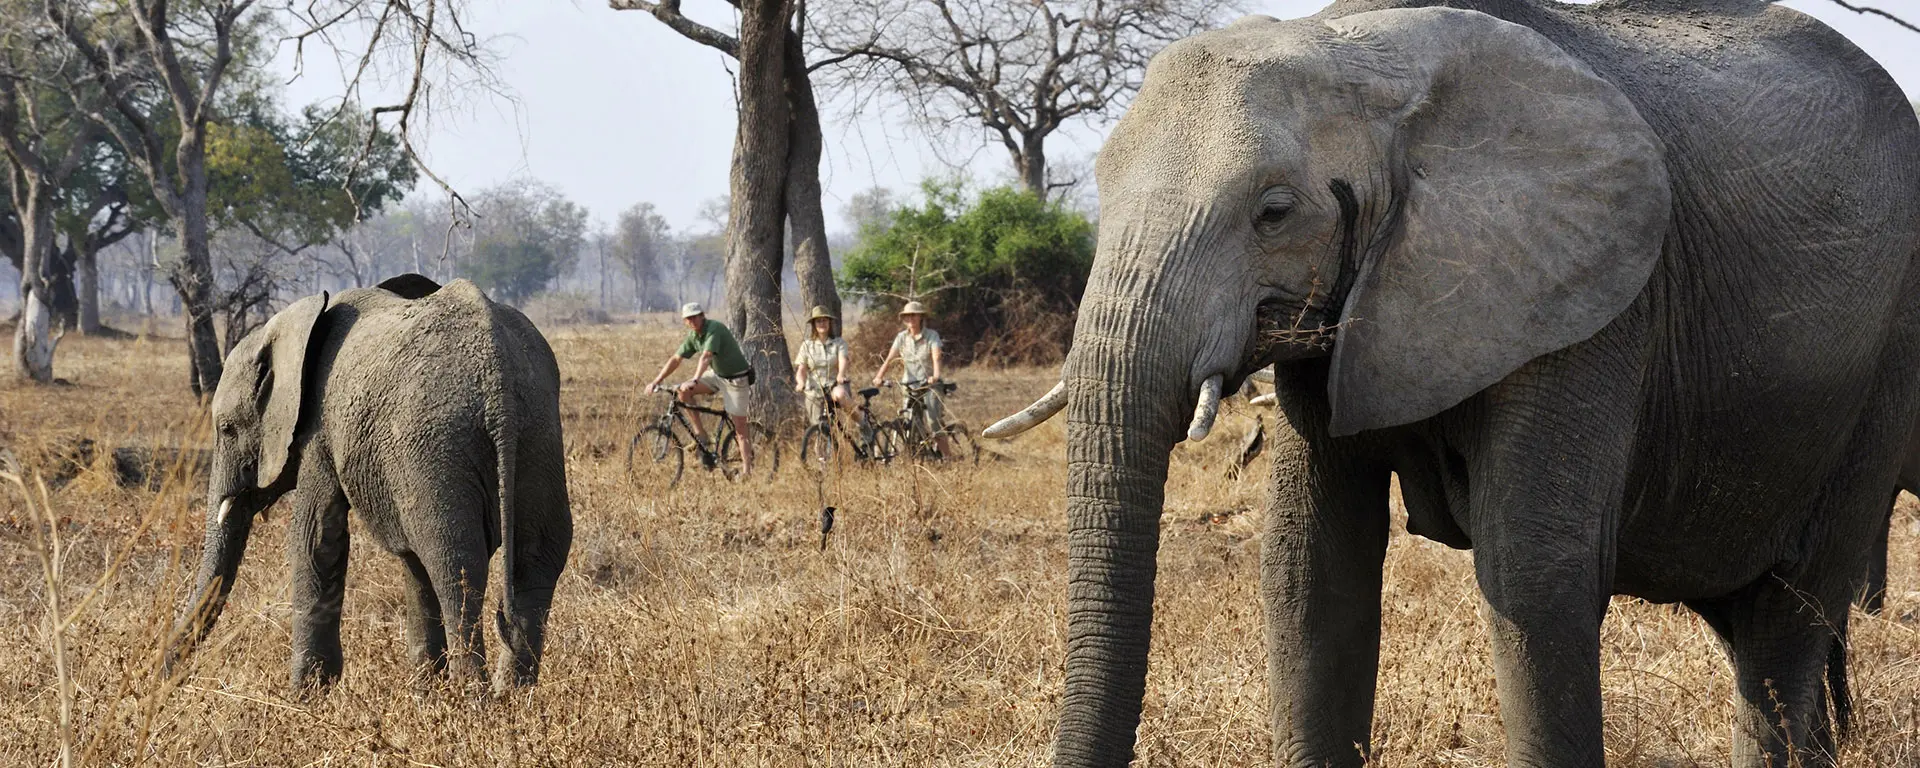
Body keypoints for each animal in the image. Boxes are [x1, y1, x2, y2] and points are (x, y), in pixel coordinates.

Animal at [169, 274, 573, 694]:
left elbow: (315, 539)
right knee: (535, 560)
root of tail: (500, 385)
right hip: (537, 436)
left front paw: (304, 695)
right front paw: (424, 693)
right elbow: (409, 561)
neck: (295, 326)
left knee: (456, 564)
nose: (168, 676)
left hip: (441, 444)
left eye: (227, 429)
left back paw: (472, 698)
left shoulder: (321, 428)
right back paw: (513, 697)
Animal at [983, 1, 1920, 765]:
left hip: (1884, 361)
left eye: (1274, 212)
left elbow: (1534, 576)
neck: (1362, 51)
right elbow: (1311, 569)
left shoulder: (1587, 304)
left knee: (1791, 613)